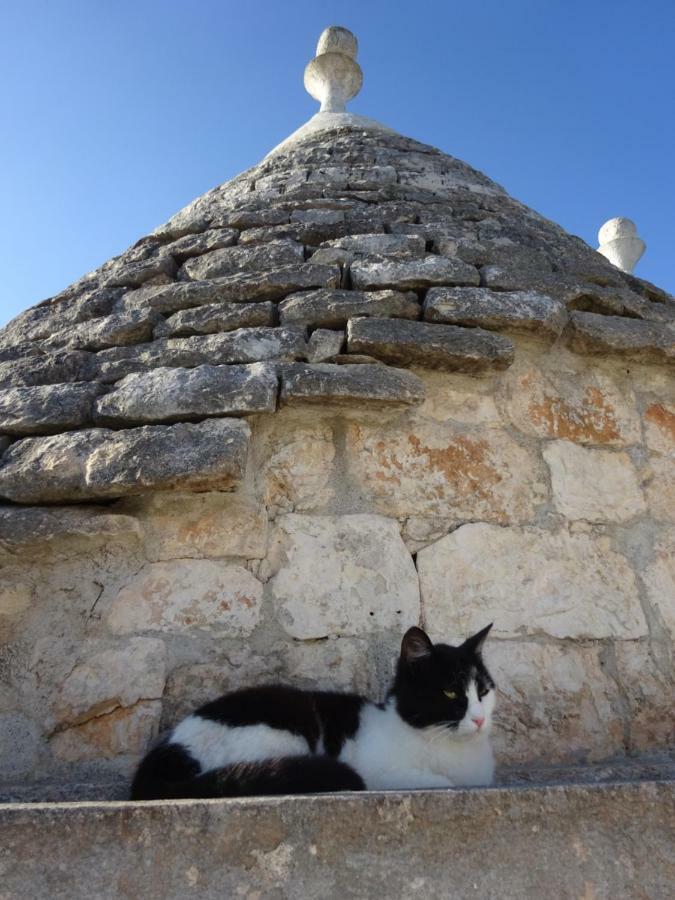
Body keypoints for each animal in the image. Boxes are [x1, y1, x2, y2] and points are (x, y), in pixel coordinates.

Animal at [129, 624, 496, 800]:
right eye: (450, 692)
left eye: (483, 691)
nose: (479, 719)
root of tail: (168, 750)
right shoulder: (384, 772)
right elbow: (440, 781)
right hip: (286, 729)